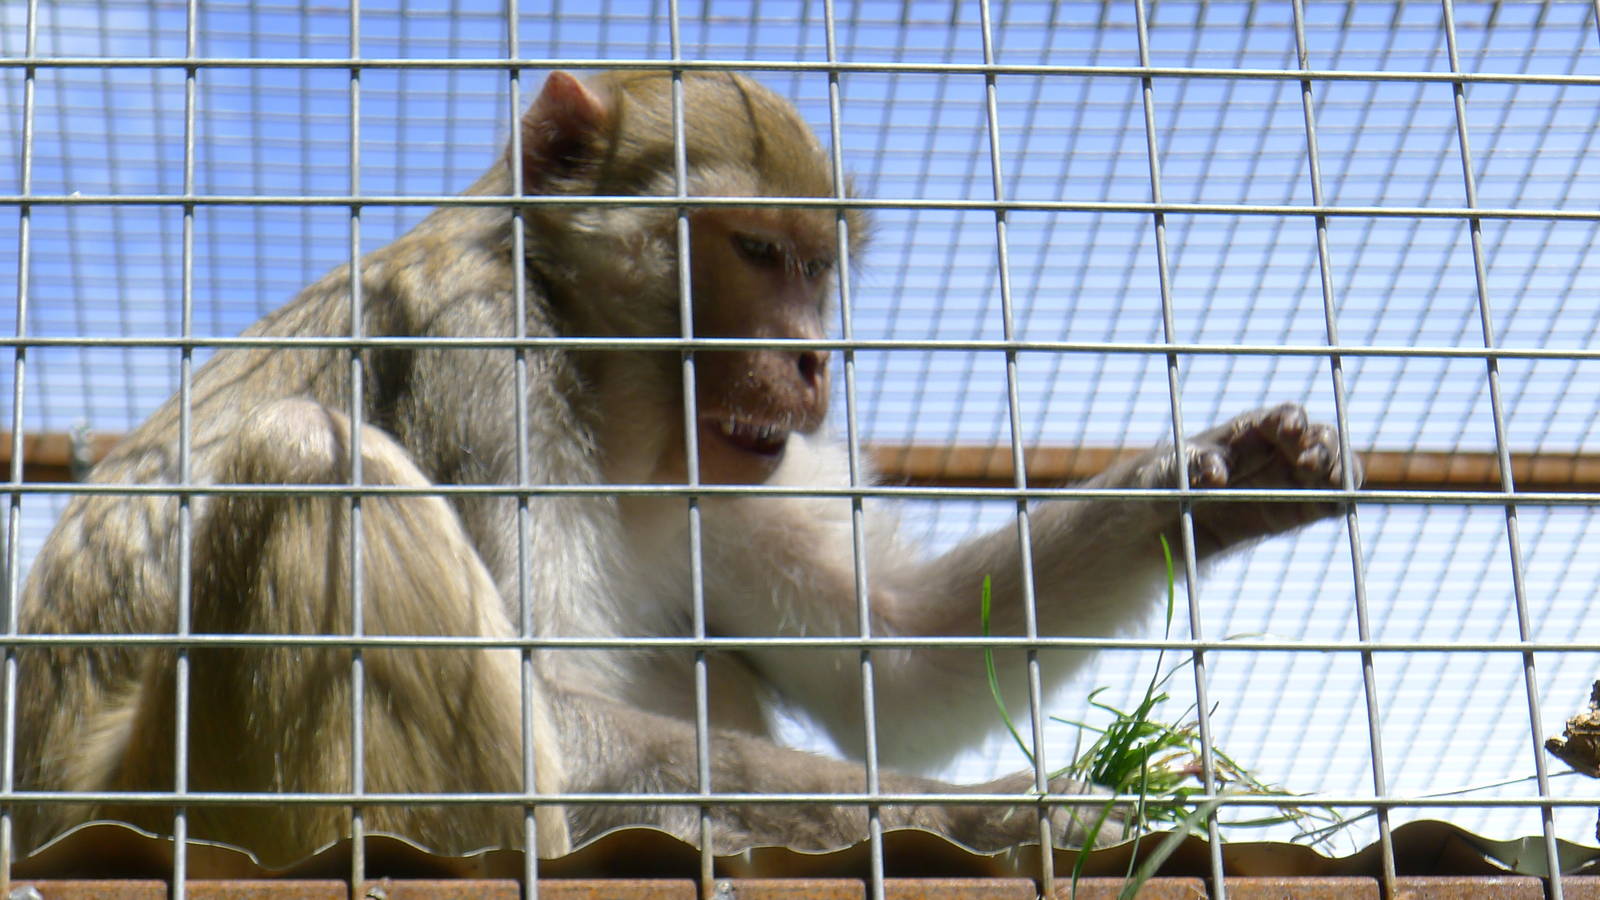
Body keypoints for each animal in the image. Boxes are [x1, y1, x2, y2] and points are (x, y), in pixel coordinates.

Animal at [13, 70, 1358, 866]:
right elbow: (555, 699)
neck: (619, 398)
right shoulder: (478, 354)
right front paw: (1023, 811)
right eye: (756, 252)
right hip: (176, 800)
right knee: (315, 461)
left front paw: (1213, 479)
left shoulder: (732, 465)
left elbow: (898, 658)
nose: (811, 359)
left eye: (818, 265)